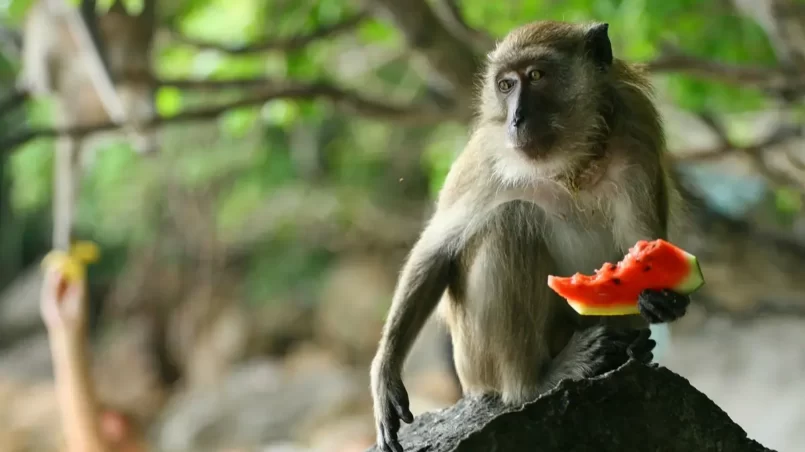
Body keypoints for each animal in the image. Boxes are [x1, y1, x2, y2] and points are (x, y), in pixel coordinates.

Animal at [370, 21, 692, 452]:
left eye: (536, 76)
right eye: (506, 85)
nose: (516, 119)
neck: (571, 165)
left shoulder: (635, 138)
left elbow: (641, 241)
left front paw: (663, 295)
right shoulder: (488, 157)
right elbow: (436, 251)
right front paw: (385, 375)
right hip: (474, 364)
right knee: (509, 220)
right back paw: (538, 380)